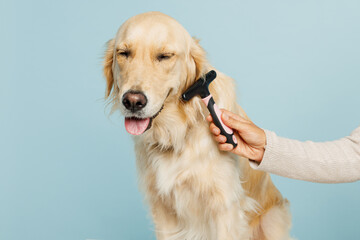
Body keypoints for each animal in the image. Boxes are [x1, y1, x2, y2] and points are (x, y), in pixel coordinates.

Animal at [102, 11, 292, 240]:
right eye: (124, 53)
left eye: (165, 56)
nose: (132, 101)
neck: (178, 131)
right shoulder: (162, 209)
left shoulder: (225, 207)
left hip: (272, 221)